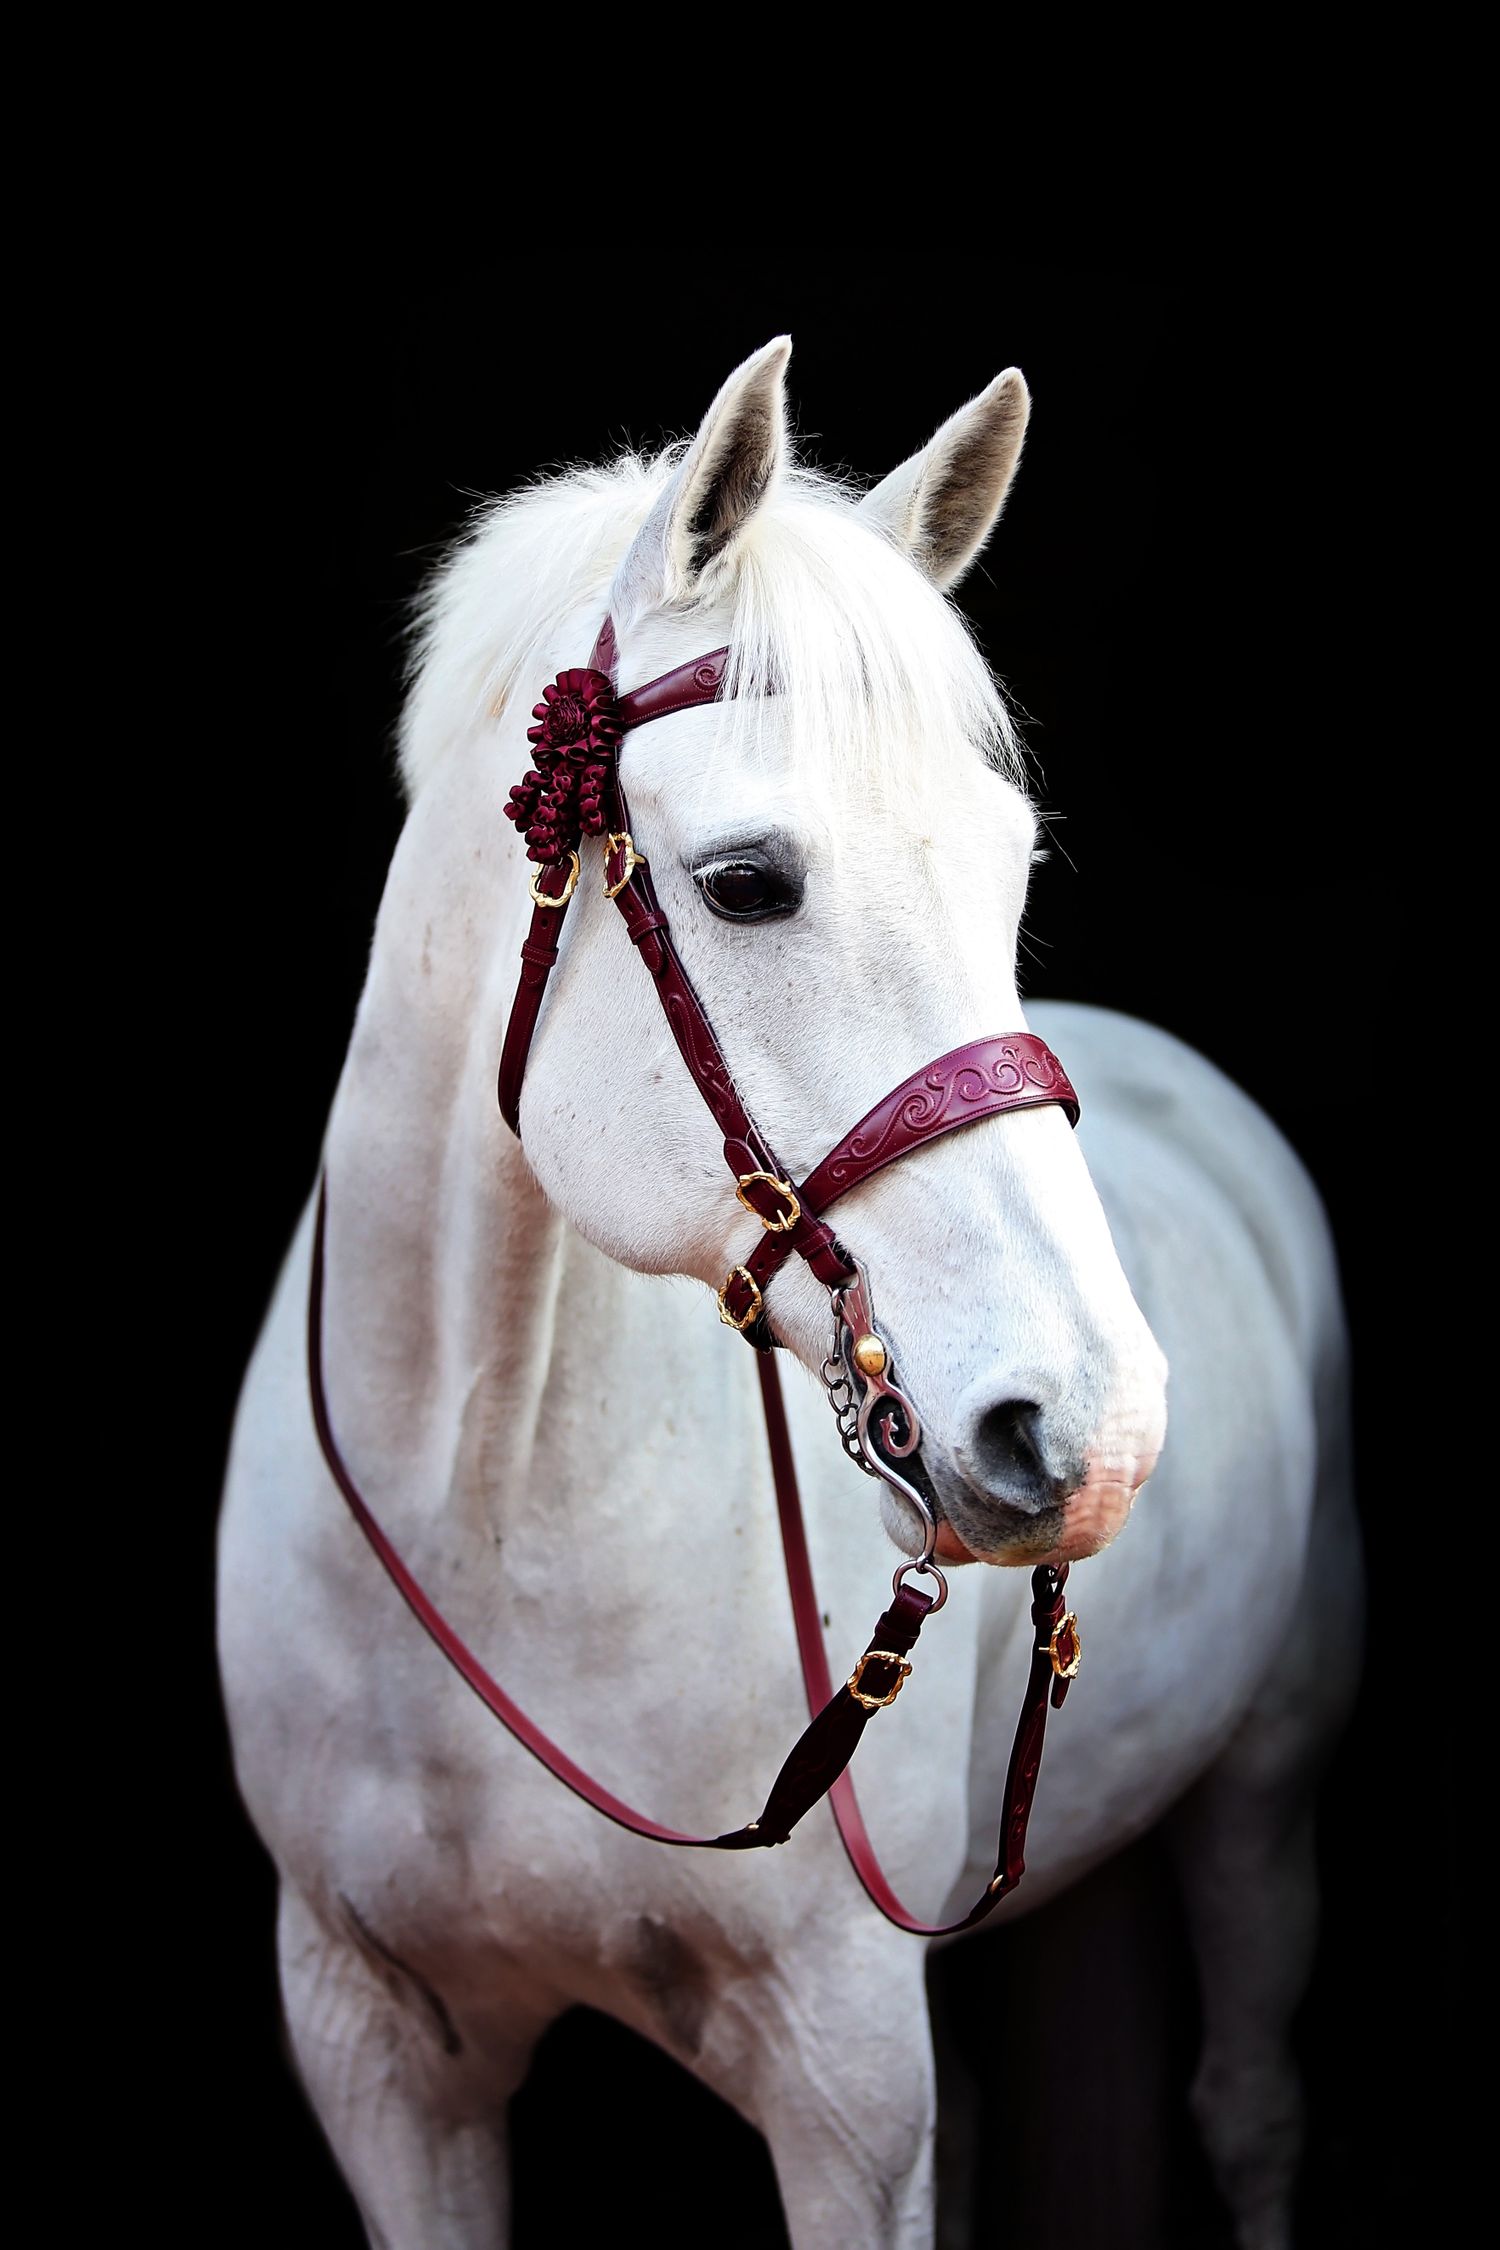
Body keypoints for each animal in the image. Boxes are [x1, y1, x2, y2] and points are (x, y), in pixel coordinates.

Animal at [220, 337, 1358, 2250]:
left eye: (1013, 867)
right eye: (750, 883)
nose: (1097, 1430)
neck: (491, 1499)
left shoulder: (842, 2085)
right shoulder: (376, 2055)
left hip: (1265, 1794)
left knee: (1257, 2109)